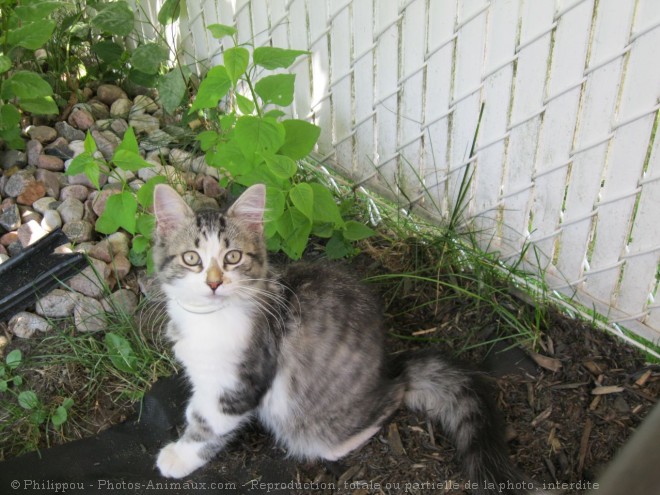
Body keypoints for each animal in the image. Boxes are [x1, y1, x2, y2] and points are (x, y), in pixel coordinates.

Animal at [152, 184, 540, 494]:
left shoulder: (240, 381)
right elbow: (197, 408)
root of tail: (389, 368)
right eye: (192, 258)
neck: (209, 320)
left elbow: (208, 423)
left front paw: (179, 456)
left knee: (388, 400)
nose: (214, 283)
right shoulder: (206, 375)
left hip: (318, 416)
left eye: (232, 257)